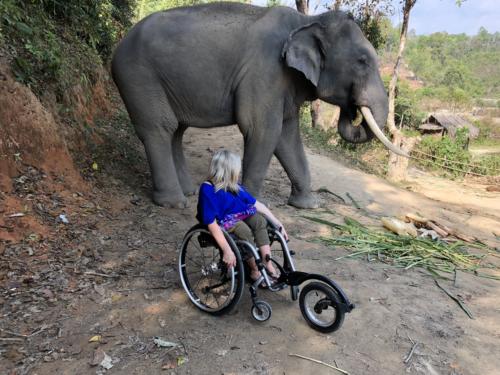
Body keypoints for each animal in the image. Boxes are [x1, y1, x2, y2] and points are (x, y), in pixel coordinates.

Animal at [111, 2, 404, 209]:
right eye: (362, 61)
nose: (353, 108)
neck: (307, 21)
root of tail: (119, 45)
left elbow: (288, 136)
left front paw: (307, 206)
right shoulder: (266, 71)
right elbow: (262, 130)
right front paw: (249, 203)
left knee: (176, 130)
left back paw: (188, 191)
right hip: (138, 77)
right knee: (160, 127)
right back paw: (173, 202)